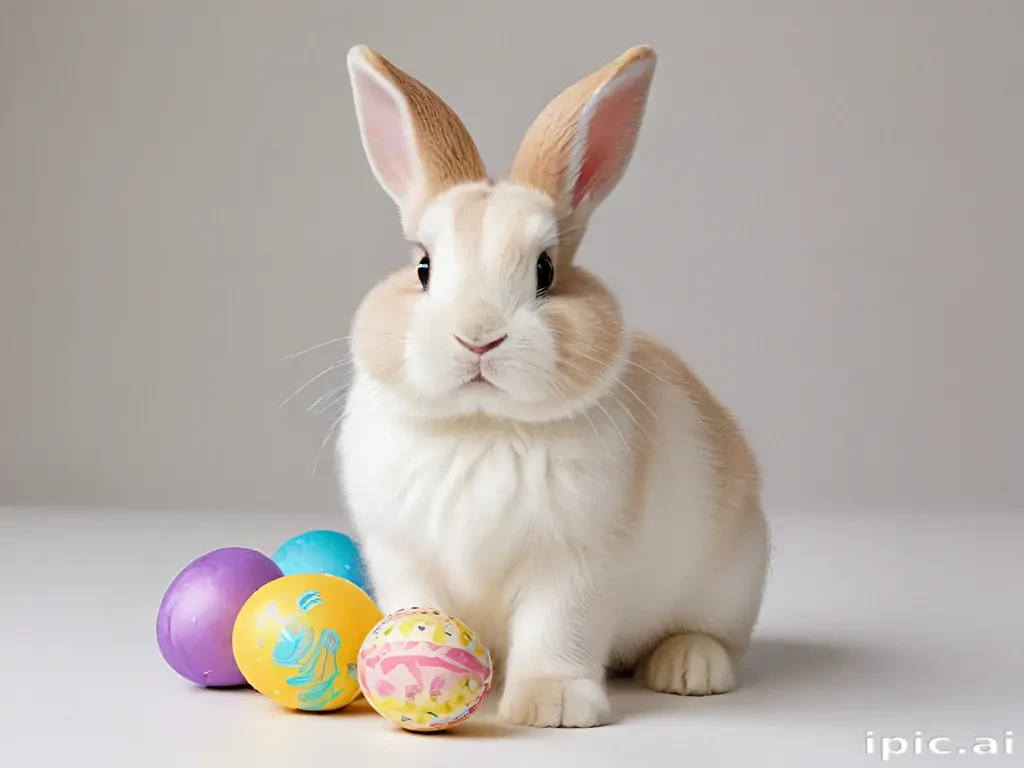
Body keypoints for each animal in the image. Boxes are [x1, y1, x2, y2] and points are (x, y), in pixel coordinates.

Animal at [336, 43, 769, 728]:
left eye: (545, 270)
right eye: (423, 268)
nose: (478, 338)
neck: (483, 425)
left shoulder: (577, 563)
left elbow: (558, 632)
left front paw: (553, 707)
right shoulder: (404, 555)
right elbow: (423, 606)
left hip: (733, 579)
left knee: (713, 636)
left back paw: (689, 668)